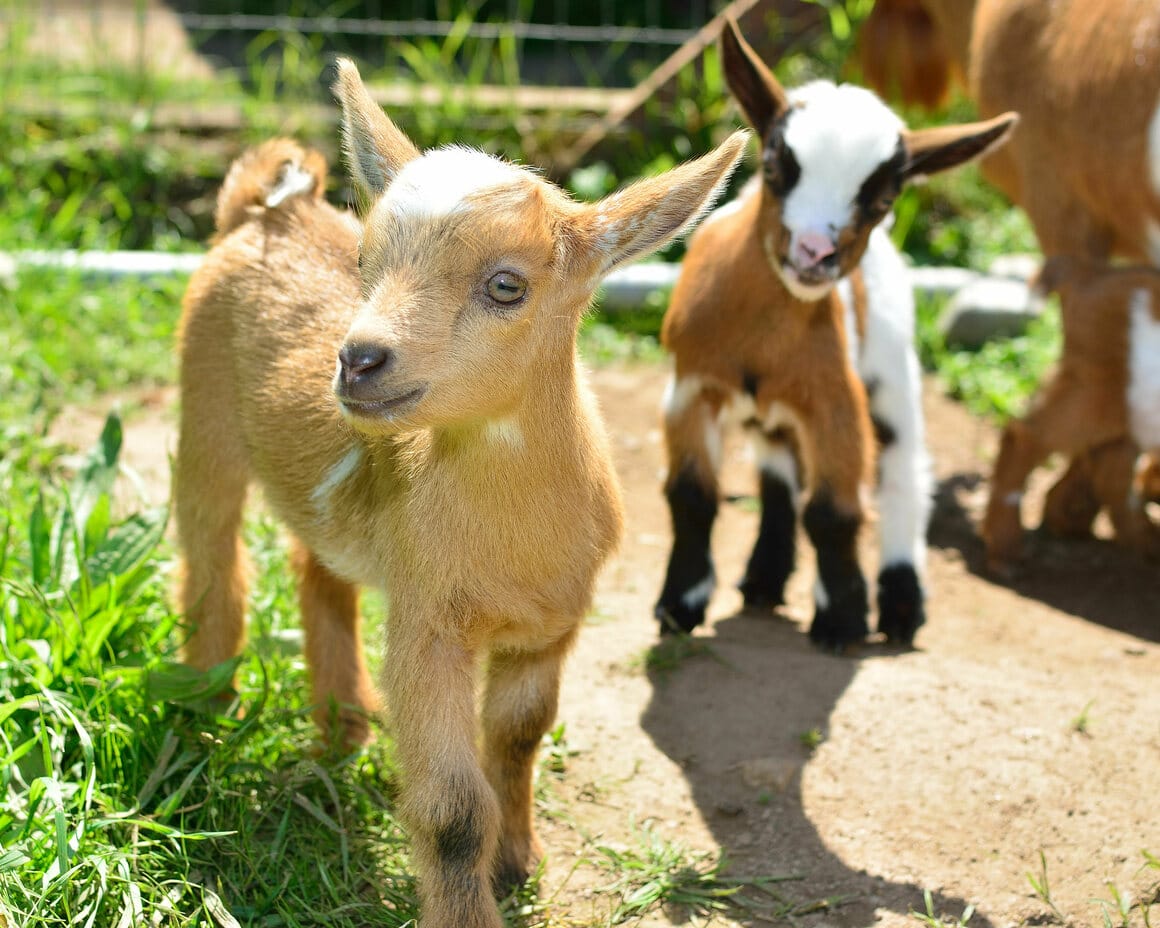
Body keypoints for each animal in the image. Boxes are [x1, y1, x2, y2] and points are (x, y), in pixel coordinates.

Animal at [175, 62, 747, 928]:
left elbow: (518, 738)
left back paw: (344, 731)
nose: (359, 359)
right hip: (201, 410)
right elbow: (451, 810)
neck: (511, 540)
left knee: (317, 570)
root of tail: (264, 210)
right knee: (211, 563)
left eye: (506, 285)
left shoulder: (551, 626)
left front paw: (519, 863)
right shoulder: (428, 624)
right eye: (364, 263)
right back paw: (209, 721)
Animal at [654, 19, 1016, 650]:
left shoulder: (835, 400)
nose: (814, 252)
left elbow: (834, 512)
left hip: (893, 372)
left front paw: (843, 619)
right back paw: (764, 579)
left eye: (885, 195)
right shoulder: (690, 387)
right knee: (779, 478)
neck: (762, 338)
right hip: (773, 416)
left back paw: (901, 605)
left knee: (904, 472)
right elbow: (693, 496)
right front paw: (681, 605)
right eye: (775, 166)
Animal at [981, 257, 1160, 571]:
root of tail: (1090, 274)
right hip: (1096, 392)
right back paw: (1005, 550)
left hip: (1131, 410)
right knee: (1024, 436)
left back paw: (1146, 542)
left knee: (1111, 469)